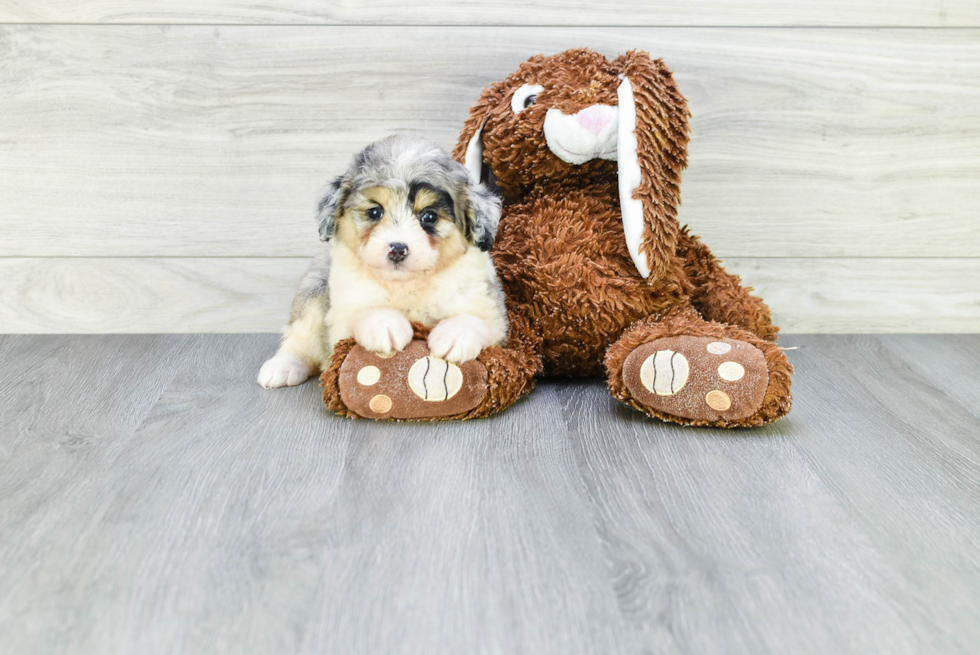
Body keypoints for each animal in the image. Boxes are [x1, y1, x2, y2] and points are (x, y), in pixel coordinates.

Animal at [256, 133, 510, 390]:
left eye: (429, 216)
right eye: (375, 212)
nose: (397, 250)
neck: (407, 286)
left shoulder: (491, 311)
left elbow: (478, 320)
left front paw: (455, 336)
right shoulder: (340, 316)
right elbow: (361, 312)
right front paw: (385, 325)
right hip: (313, 292)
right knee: (299, 338)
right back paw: (283, 367)